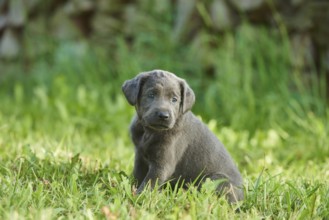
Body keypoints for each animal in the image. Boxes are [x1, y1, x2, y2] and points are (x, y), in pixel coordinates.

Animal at [121, 69, 242, 202]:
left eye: (174, 99)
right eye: (151, 95)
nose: (163, 116)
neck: (149, 132)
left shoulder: (162, 164)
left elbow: (149, 183)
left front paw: (138, 197)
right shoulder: (140, 156)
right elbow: (137, 176)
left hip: (218, 179)